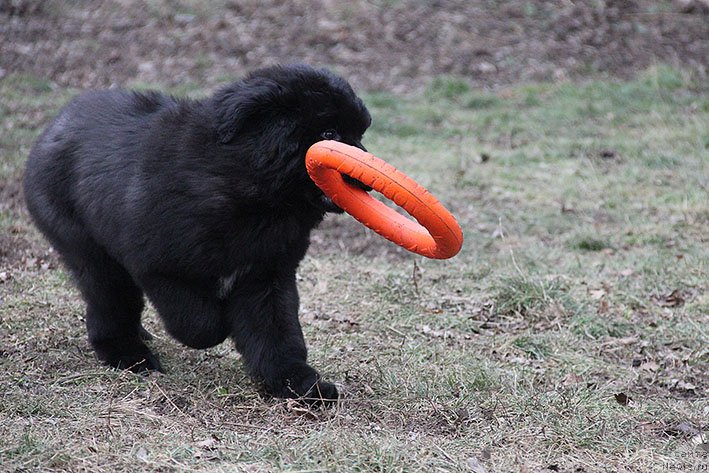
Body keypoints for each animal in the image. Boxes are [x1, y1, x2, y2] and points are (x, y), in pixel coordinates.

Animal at [24, 62, 374, 402]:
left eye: (360, 131)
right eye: (329, 133)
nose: (367, 179)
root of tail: (52, 129)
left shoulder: (267, 276)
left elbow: (277, 334)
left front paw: (298, 385)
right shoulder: (158, 267)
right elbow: (200, 324)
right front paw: (220, 326)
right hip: (89, 251)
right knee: (109, 304)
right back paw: (130, 355)